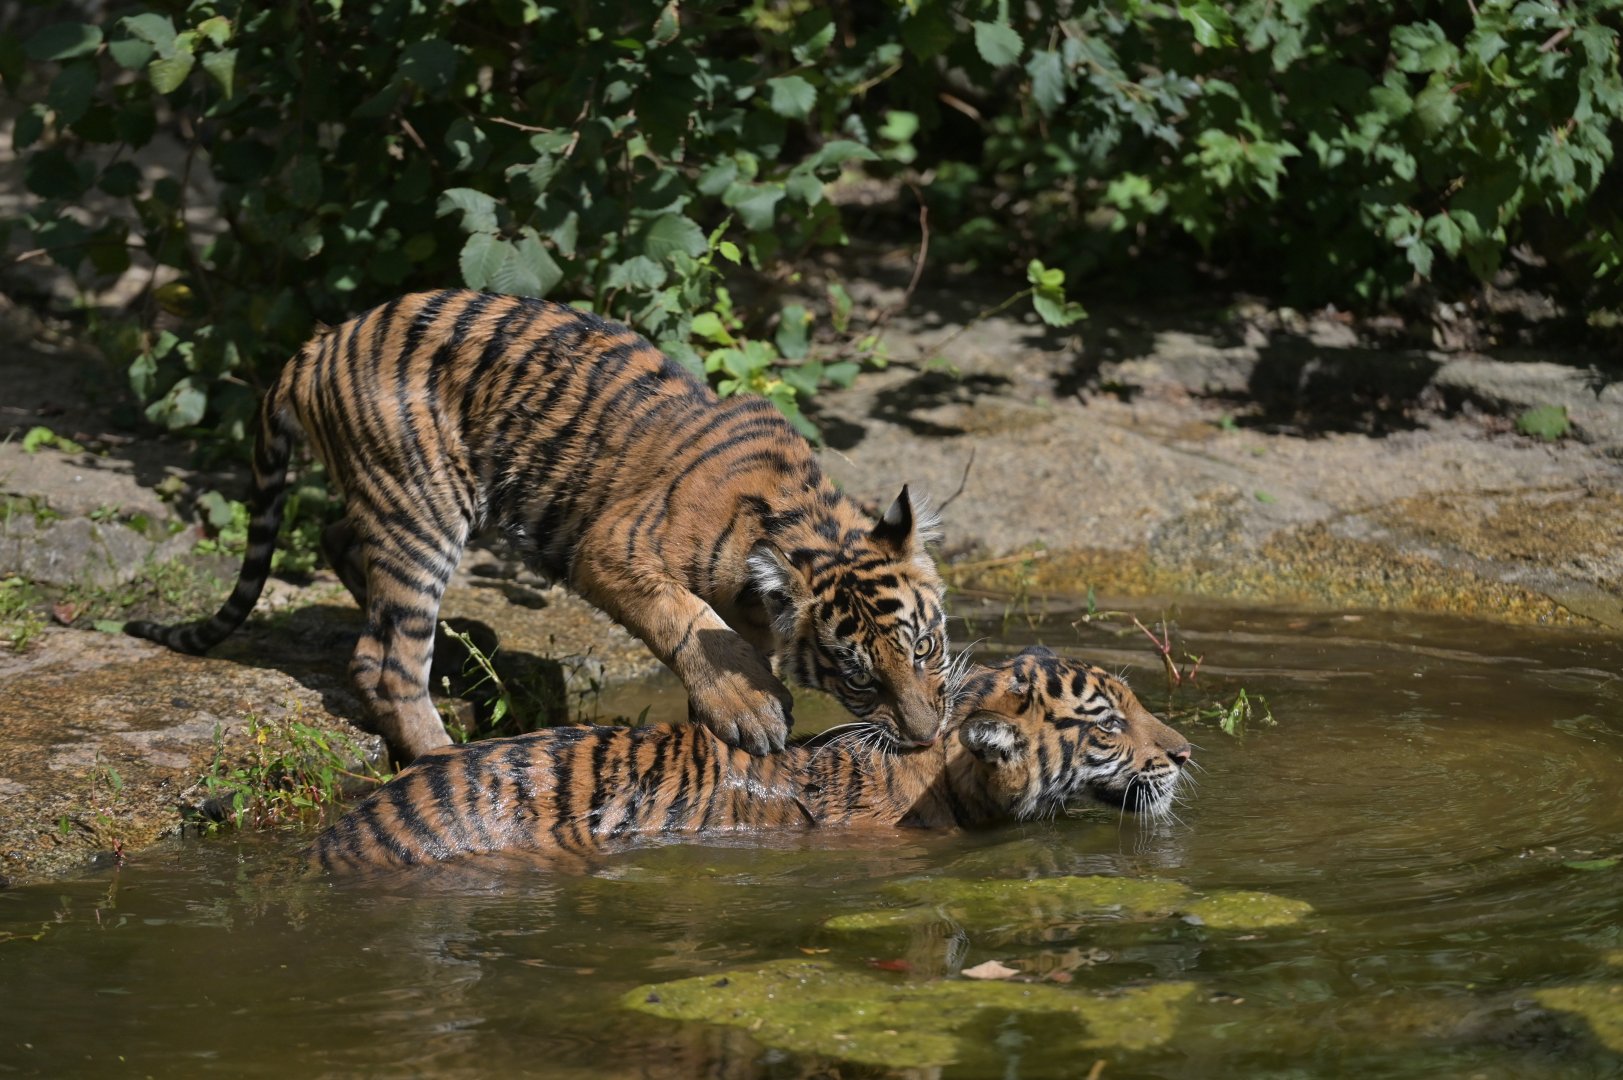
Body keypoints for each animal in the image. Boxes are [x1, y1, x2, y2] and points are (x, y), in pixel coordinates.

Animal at [126, 290, 950, 764]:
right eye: (856, 675)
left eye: (926, 648)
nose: (924, 738)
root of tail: (317, 342)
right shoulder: (612, 548)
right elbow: (687, 620)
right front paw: (750, 709)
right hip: (425, 504)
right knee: (384, 660)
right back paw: (441, 754)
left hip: (394, 501)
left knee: (340, 543)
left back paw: (462, 649)